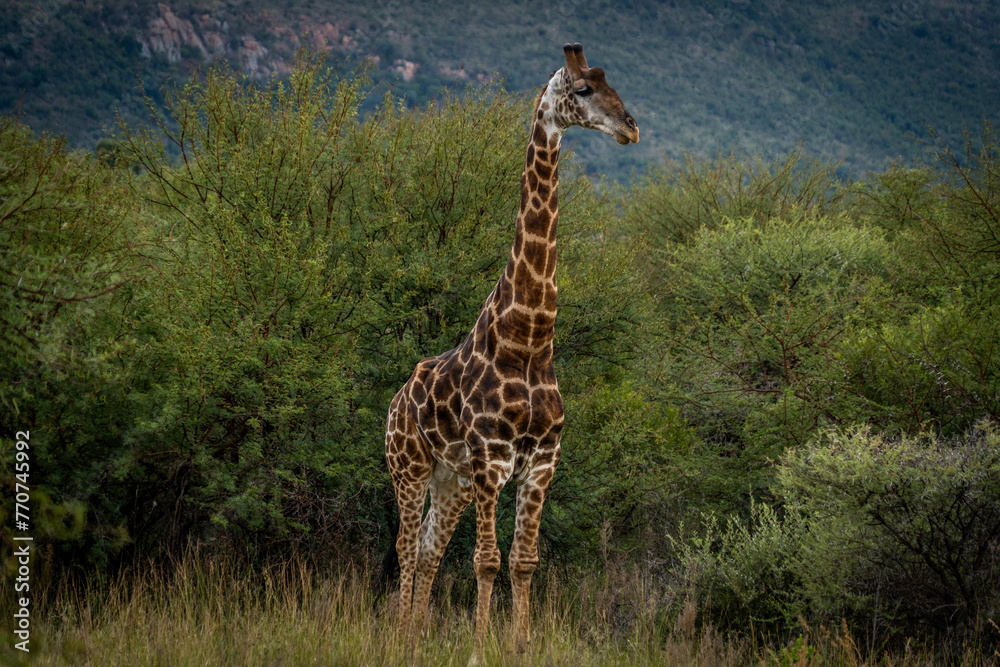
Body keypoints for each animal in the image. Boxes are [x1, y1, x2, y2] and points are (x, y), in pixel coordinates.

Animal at [384, 43, 638, 656]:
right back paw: (401, 637)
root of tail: (395, 402)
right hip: (409, 468)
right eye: (584, 89)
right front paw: (480, 646)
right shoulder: (491, 458)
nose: (631, 127)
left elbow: (523, 561)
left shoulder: (541, 461)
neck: (529, 339)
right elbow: (486, 561)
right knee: (405, 547)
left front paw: (521, 644)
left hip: (449, 480)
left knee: (427, 550)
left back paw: (419, 635)